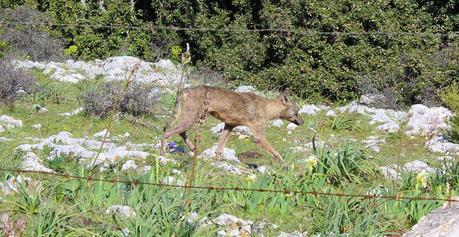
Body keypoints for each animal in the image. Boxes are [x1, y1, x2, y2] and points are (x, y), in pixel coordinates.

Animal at [160, 86, 304, 162]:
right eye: (297, 111)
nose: (302, 122)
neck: (267, 108)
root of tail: (184, 90)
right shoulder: (258, 135)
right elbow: (275, 151)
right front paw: (283, 163)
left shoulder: (229, 126)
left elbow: (219, 149)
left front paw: (216, 162)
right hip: (191, 119)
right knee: (167, 132)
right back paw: (163, 153)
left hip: (191, 119)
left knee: (180, 133)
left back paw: (193, 149)